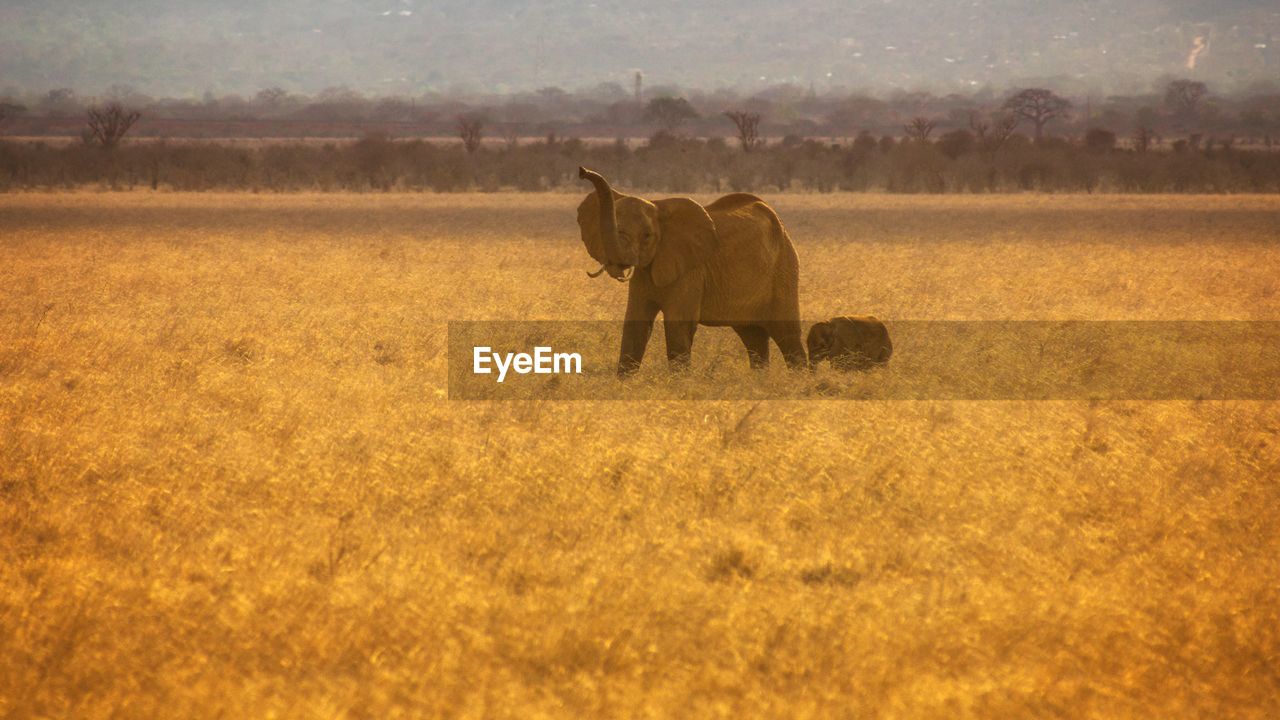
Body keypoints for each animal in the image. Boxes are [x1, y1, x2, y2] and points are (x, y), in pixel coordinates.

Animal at [578, 165, 803, 371]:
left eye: (647, 236)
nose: (582, 171)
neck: (659, 207)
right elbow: (636, 323)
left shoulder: (691, 271)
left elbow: (678, 325)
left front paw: (677, 384)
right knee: (753, 337)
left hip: (784, 268)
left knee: (787, 335)